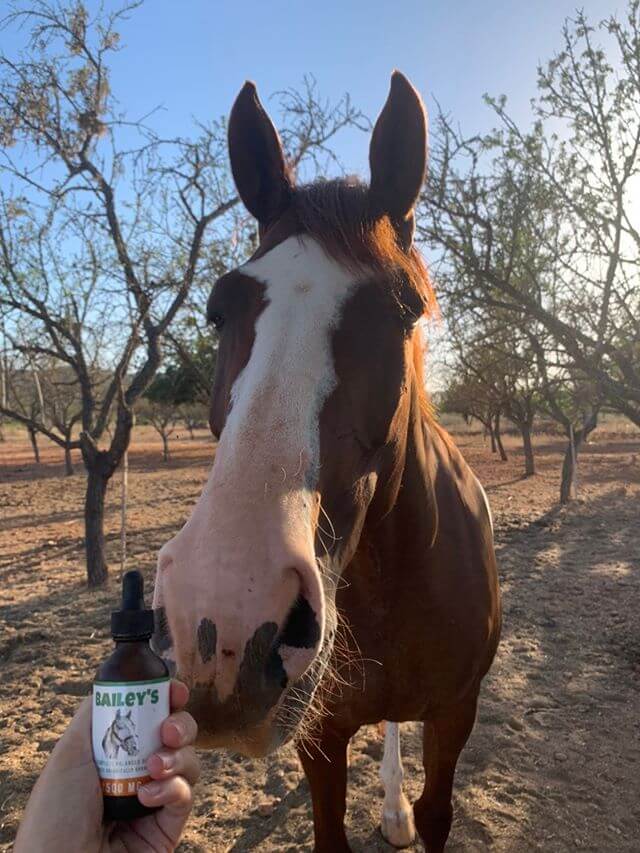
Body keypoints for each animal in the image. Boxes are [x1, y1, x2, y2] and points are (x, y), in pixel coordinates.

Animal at [151, 71, 501, 852]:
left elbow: (438, 811)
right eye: (218, 309)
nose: (224, 627)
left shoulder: (455, 716)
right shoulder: (321, 740)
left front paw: (411, 814)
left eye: (406, 308)